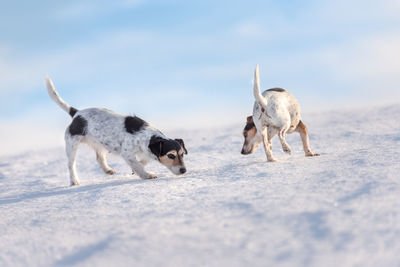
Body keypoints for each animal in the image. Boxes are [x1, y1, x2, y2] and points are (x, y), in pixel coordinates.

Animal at [45, 77, 188, 186]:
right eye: (171, 155)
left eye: (182, 154)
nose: (184, 170)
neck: (147, 137)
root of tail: (76, 113)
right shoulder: (127, 152)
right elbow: (137, 165)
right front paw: (146, 174)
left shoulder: (143, 152)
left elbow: (140, 162)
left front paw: (137, 169)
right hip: (72, 145)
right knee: (71, 165)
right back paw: (74, 181)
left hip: (100, 144)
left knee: (99, 158)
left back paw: (108, 170)